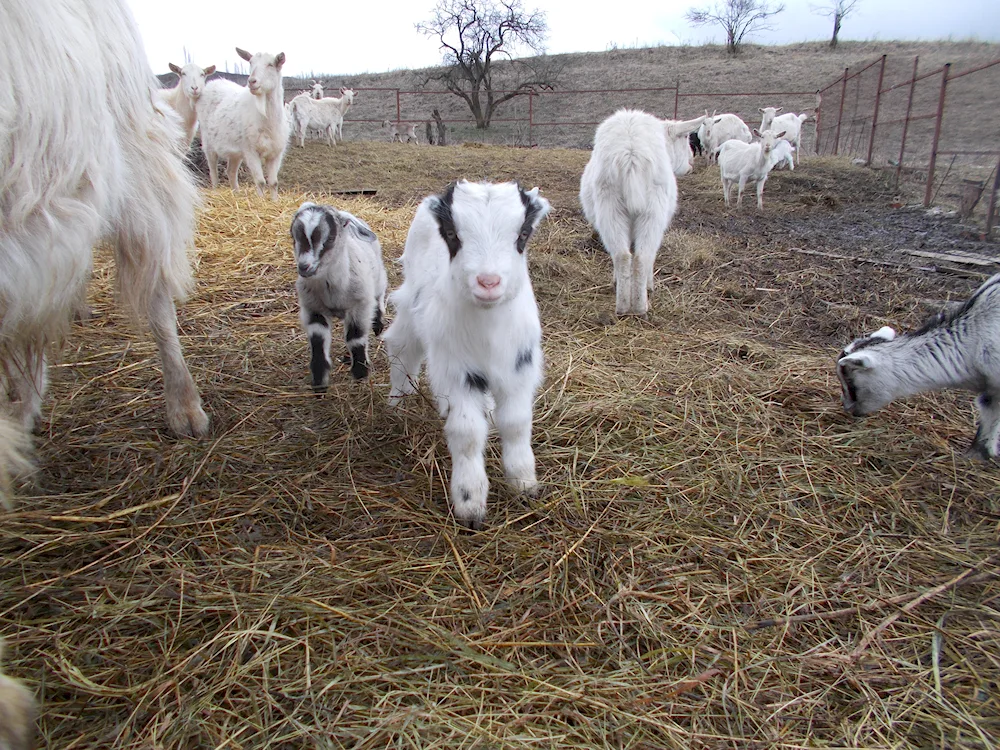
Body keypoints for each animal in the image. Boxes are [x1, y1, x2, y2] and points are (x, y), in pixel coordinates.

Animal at [195, 46, 290, 200]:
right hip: (208, 142)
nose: (252, 81)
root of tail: (212, 83)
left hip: (236, 151)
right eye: (250, 62)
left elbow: (274, 182)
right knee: (213, 170)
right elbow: (260, 181)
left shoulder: (276, 152)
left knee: (230, 171)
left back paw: (236, 193)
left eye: (271, 64)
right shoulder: (250, 149)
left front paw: (274, 201)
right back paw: (215, 190)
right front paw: (261, 201)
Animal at [576, 108, 708, 314]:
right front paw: (649, 284)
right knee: (643, 256)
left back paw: (623, 306)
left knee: (622, 255)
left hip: (610, 208)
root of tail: (631, 155)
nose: (690, 165)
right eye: (686, 137)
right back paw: (640, 306)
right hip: (654, 211)